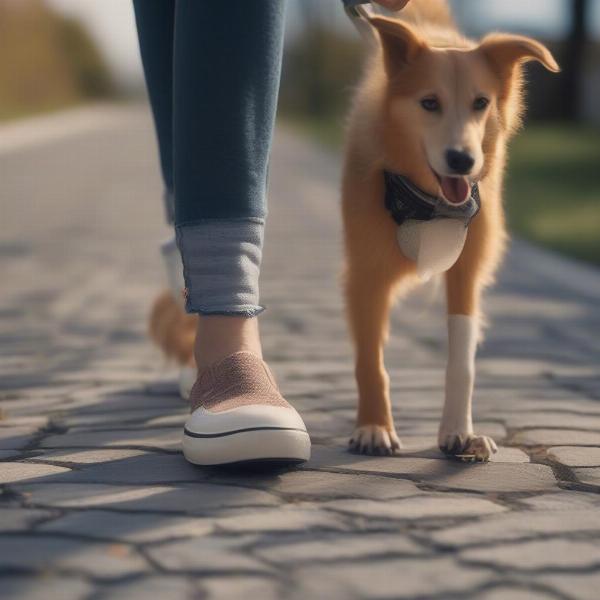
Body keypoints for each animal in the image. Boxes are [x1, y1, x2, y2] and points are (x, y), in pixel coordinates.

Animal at [344, 0, 560, 460]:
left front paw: (458, 432)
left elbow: (462, 359)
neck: (426, 200)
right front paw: (374, 427)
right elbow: (371, 359)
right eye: (429, 102)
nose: (462, 160)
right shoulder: (365, 273)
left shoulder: (467, 269)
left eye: (481, 102)